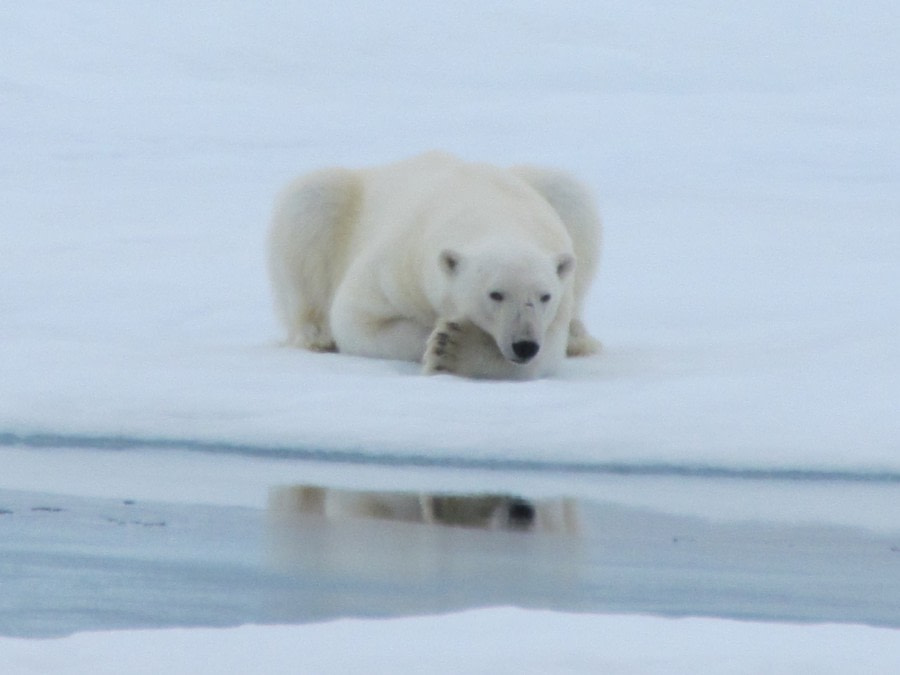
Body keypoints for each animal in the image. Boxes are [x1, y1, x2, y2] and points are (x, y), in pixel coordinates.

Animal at [270, 151, 600, 380]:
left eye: (545, 296)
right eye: (495, 294)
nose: (524, 344)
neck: (489, 214)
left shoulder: (557, 305)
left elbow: (549, 352)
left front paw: (458, 348)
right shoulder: (397, 266)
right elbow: (357, 320)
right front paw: (444, 339)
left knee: (567, 190)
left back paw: (578, 338)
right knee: (310, 200)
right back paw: (316, 336)